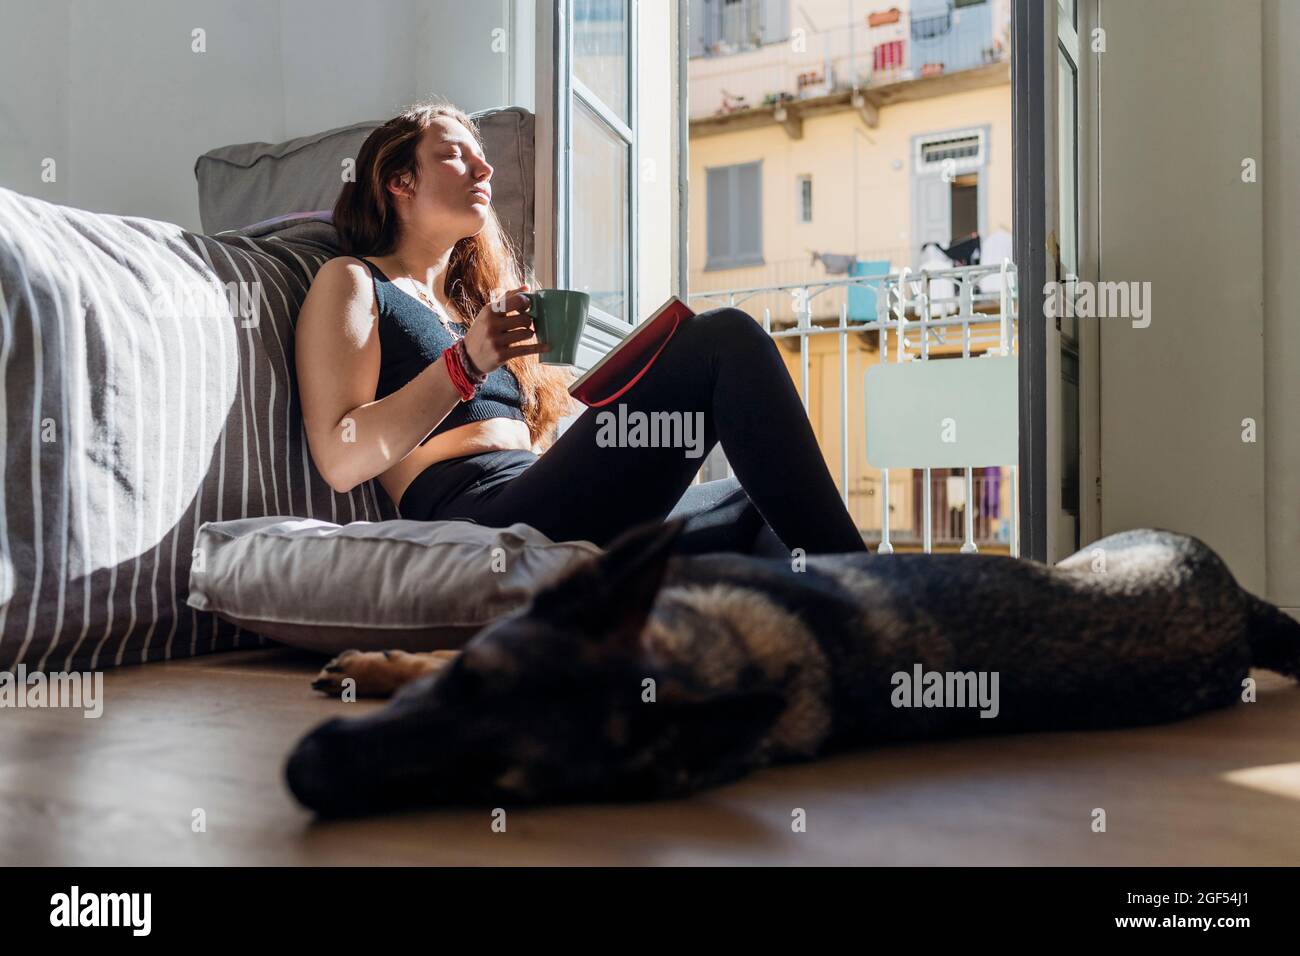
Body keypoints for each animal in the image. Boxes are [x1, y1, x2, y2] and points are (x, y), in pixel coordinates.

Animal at [284, 520, 1300, 816]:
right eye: (468, 686)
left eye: (498, 786)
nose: (304, 769)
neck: (708, 655)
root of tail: (1230, 601)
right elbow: (433, 645)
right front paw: (377, 659)